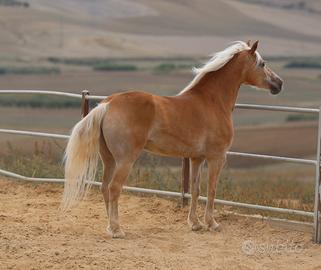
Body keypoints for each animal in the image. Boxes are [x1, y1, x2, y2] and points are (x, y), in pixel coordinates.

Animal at [61, 40, 282, 238]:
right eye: (262, 63)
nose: (279, 83)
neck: (212, 102)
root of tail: (108, 104)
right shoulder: (217, 157)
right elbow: (211, 190)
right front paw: (212, 223)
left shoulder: (197, 158)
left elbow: (195, 189)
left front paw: (195, 224)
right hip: (125, 160)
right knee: (114, 188)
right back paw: (117, 230)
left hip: (109, 160)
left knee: (105, 188)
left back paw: (110, 226)